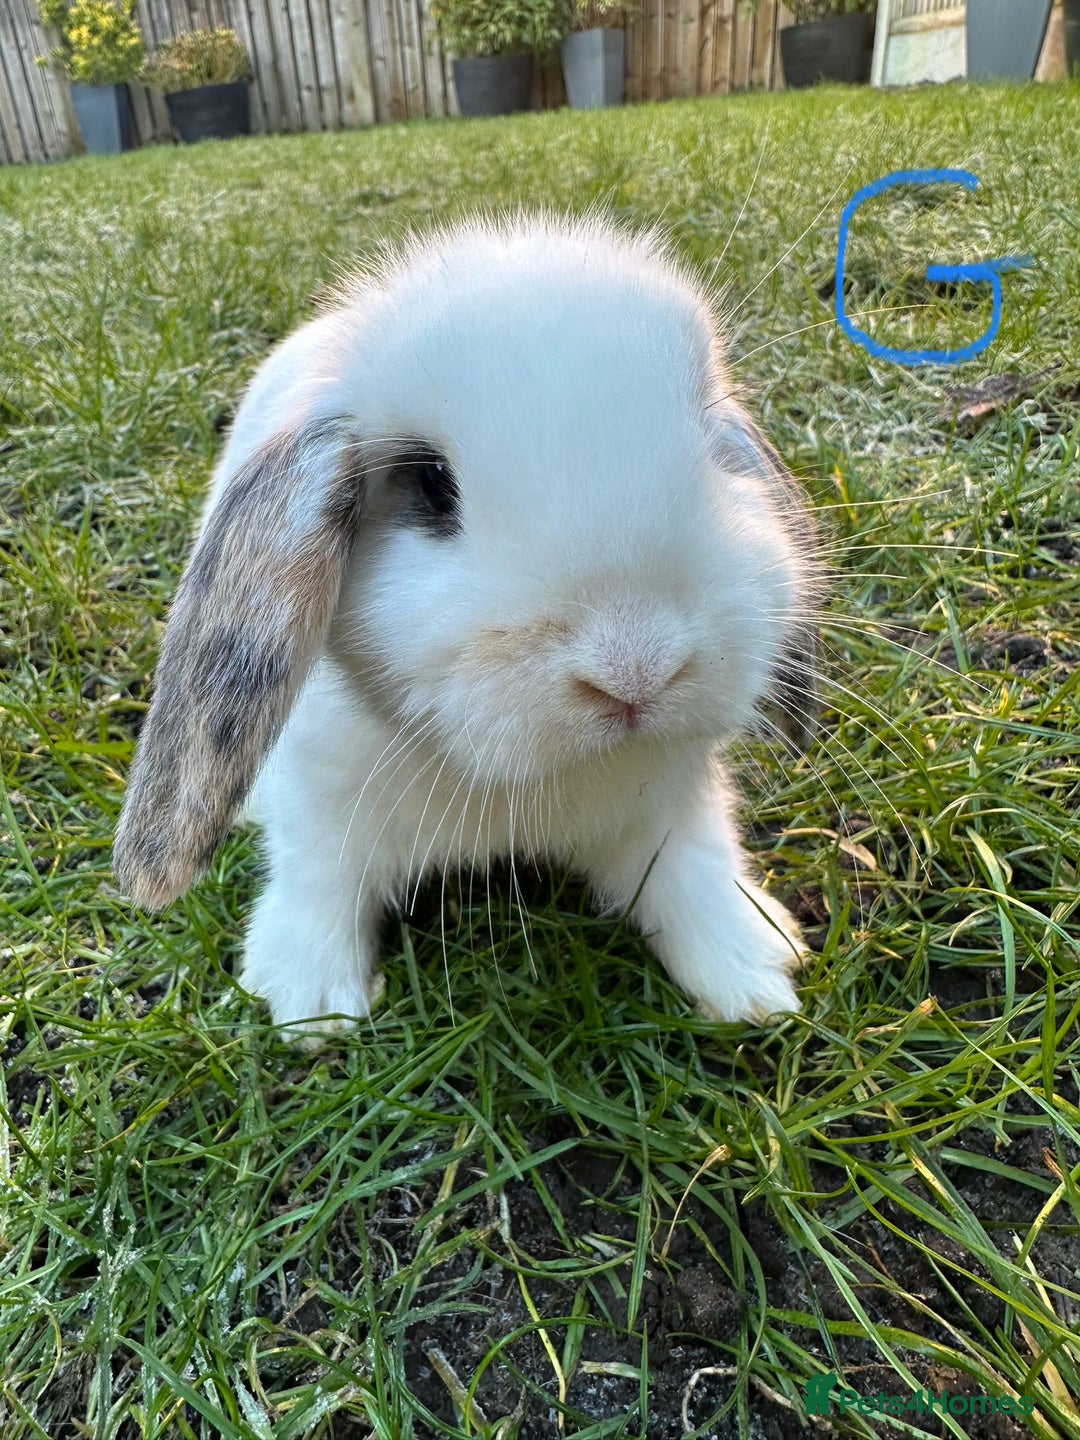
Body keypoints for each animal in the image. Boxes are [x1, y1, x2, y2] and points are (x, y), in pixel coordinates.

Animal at [113, 211, 821, 1034]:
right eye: (430, 484)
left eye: (710, 441)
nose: (636, 670)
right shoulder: (321, 812)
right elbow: (319, 884)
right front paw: (311, 1005)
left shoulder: (675, 806)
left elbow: (692, 868)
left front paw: (751, 974)